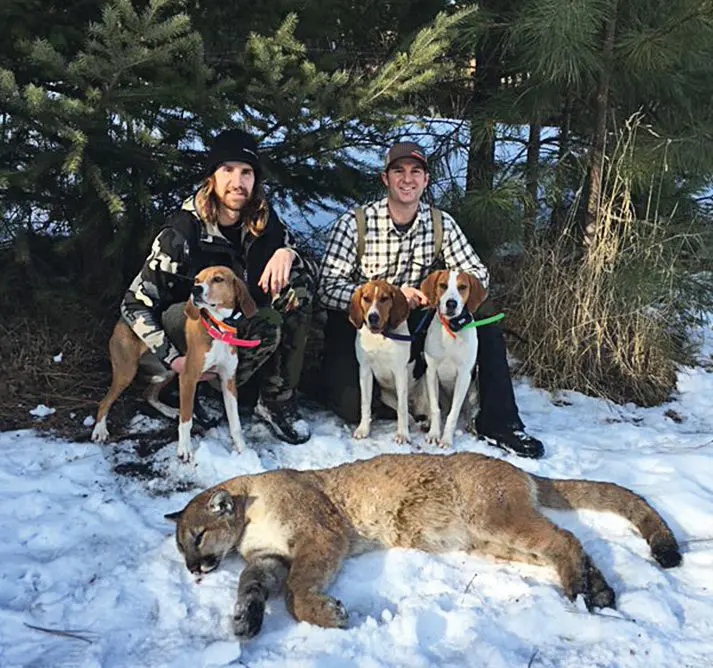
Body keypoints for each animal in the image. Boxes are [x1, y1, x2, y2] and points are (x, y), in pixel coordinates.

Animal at [92, 264, 258, 462]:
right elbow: (186, 420)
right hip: (127, 371)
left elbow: (235, 423)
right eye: (197, 280)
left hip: (168, 370)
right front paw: (184, 449)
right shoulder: (188, 378)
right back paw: (100, 430)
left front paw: (243, 451)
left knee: (148, 394)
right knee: (104, 402)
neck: (218, 327)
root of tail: (122, 321)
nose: (195, 290)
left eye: (218, 279)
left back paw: (169, 410)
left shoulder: (228, 381)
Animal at [163, 452, 680, 640]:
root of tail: (515, 468)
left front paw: (328, 612)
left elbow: (295, 592)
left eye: (196, 537)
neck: (251, 508)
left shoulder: (321, 533)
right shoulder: (268, 557)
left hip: (495, 519)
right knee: (562, 544)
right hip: (492, 541)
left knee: (565, 537)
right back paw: (601, 592)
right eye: (183, 549)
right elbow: (250, 584)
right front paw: (245, 618)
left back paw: (579, 590)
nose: (193, 569)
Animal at [348, 278, 426, 440]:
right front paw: (363, 429)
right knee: (406, 412)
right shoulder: (365, 370)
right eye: (366, 298)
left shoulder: (400, 372)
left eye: (384, 299)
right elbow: (365, 403)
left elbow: (402, 408)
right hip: (385, 396)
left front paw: (402, 434)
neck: (381, 336)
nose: (373, 317)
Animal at [420, 268, 486, 446]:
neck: (451, 328)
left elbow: (453, 414)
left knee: (468, 411)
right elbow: (435, 409)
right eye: (442, 285)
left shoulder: (463, 376)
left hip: (473, 392)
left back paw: (471, 426)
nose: (451, 303)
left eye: (462, 287)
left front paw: (447, 439)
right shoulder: (431, 372)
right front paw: (434, 434)